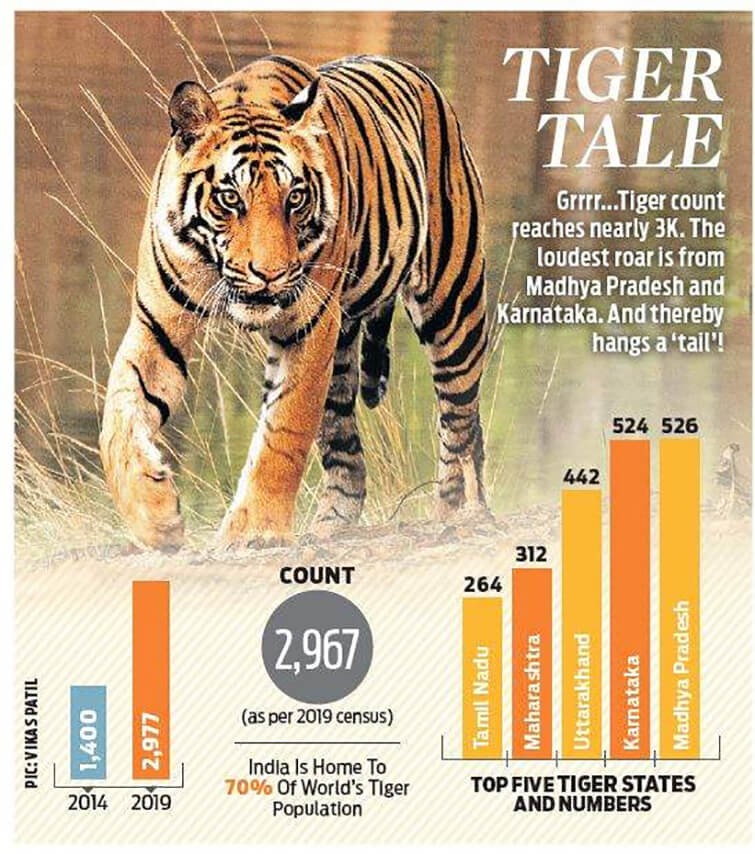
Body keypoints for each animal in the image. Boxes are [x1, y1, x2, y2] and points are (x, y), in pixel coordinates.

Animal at [99, 54, 489, 550]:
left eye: (296, 198)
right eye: (230, 199)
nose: (270, 274)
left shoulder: (311, 328)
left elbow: (283, 432)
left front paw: (255, 530)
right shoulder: (157, 326)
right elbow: (120, 416)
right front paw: (155, 515)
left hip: (453, 307)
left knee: (461, 426)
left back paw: (459, 513)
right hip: (342, 362)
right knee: (348, 457)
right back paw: (331, 527)